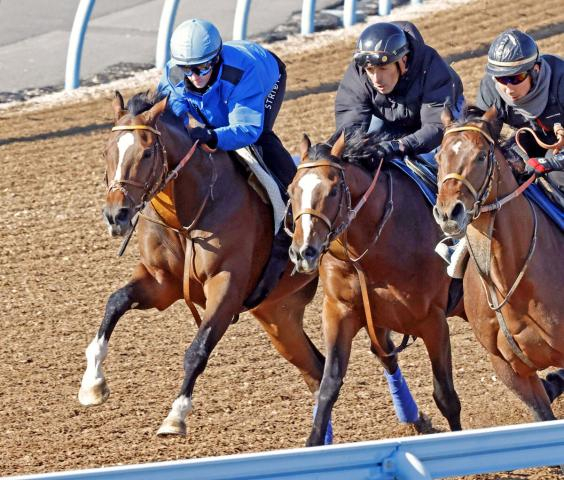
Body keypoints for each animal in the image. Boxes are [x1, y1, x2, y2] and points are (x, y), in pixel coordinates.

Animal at [79, 92, 326, 436]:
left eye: (147, 152)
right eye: (106, 151)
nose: (117, 215)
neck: (186, 215)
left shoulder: (226, 286)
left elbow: (198, 349)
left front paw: (175, 416)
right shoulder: (161, 282)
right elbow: (115, 301)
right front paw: (92, 383)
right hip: (278, 314)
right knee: (317, 370)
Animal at [286, 131, 462, 446]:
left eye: (333, 191)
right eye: (291, 190)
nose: (303, 252)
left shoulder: (433, 321)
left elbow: (446, 396)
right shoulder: (339, 312)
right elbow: (328, 386)